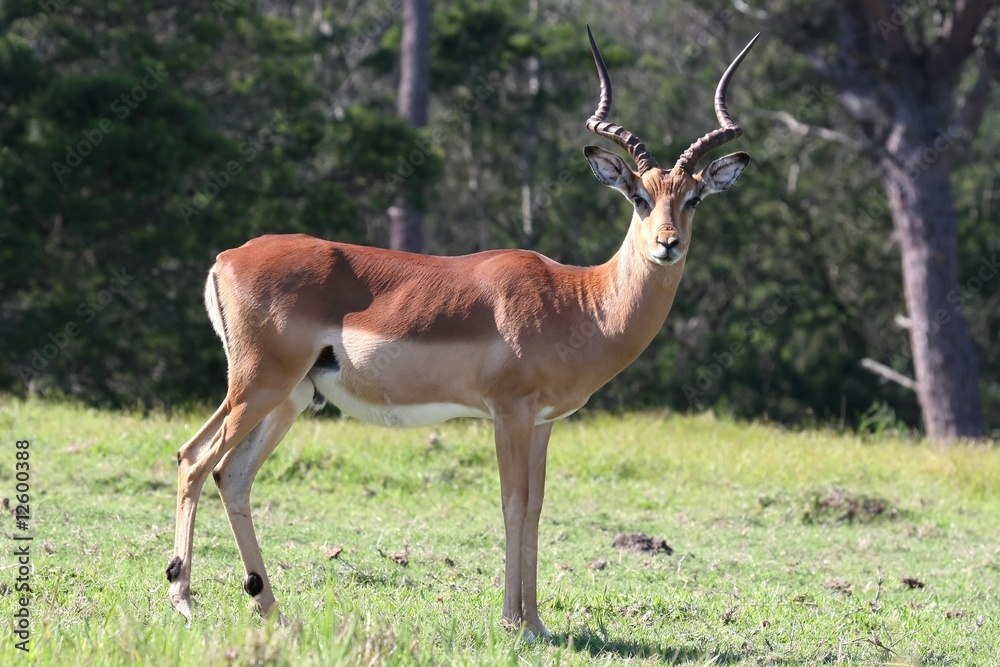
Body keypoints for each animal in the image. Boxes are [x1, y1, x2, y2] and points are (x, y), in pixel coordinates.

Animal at [166, 27, 758, 640]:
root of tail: (227, 257)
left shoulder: (543, 422)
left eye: (693, 198)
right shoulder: (509, 413)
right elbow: (512, 504)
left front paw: (538, 623)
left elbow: (537, 507)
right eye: (639, 197)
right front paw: (513, 622)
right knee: (196, 460)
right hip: (259, 385)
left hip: (287, 397)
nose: (668, 244)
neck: (578, 300)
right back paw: (183, 600)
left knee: (230, 475)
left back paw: (269, 607)